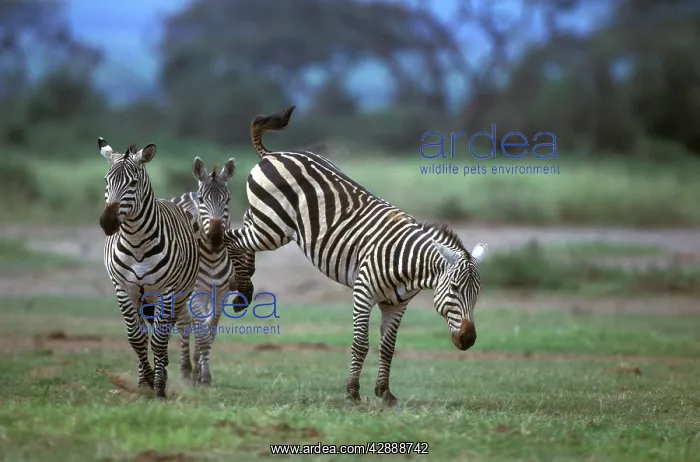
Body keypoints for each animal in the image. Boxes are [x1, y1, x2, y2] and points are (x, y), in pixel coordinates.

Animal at [97, 138, 201, 398]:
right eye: (106, 180)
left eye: (133, 183)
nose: (108, 223)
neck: (137, 244)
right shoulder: (123, 288)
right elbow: (136, 337)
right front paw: (144, 383)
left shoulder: (167, 291)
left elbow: (159, 340)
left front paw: (159, 387)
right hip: (142, 298)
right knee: (144, 332)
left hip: (178, 295)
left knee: (165, 332)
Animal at [170, 157, 256, 386]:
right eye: (202, 200)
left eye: (228, 199)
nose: (217, 237)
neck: (212, 256)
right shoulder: (196, 294)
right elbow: (201, 333)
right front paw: (202, 375)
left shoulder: (220, 294)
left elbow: (210, 331)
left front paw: (203, 374)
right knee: (184, 325)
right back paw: (185, 371)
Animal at [223, 106, 489, 405]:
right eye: (454, 288)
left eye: (477, 293)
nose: (468, 340)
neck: (408, 266)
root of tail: (274, 154)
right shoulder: (364, 293)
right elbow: (361, 343)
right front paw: (353, 392)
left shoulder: (396, 305)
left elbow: (388, 347)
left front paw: (385, 393)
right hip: (272, 228)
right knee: (232, 238)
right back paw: (242, 291)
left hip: (268, 222)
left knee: (245, 227)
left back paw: (246, 283)